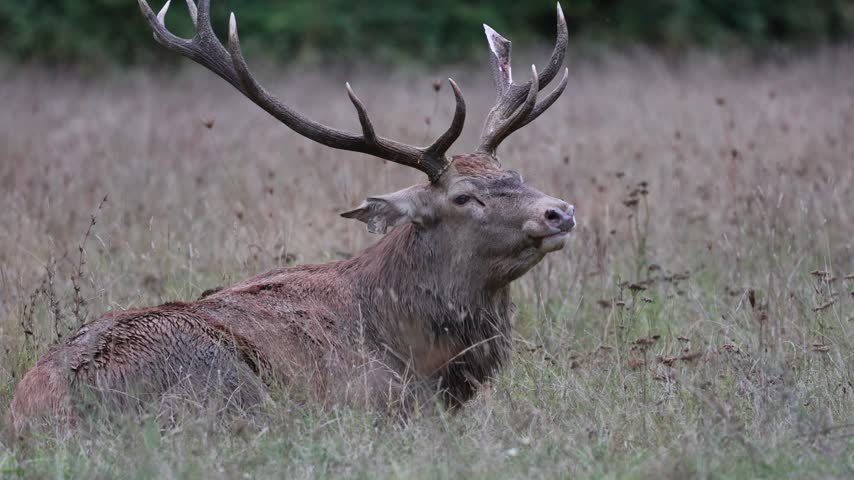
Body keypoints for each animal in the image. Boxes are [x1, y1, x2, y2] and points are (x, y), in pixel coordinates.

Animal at [7, 0, 575, 432]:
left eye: (515, 173)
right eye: (462, 198)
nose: (559, 212)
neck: (419, 354)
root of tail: (50, 411)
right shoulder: (373, 400)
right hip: (225, 383)